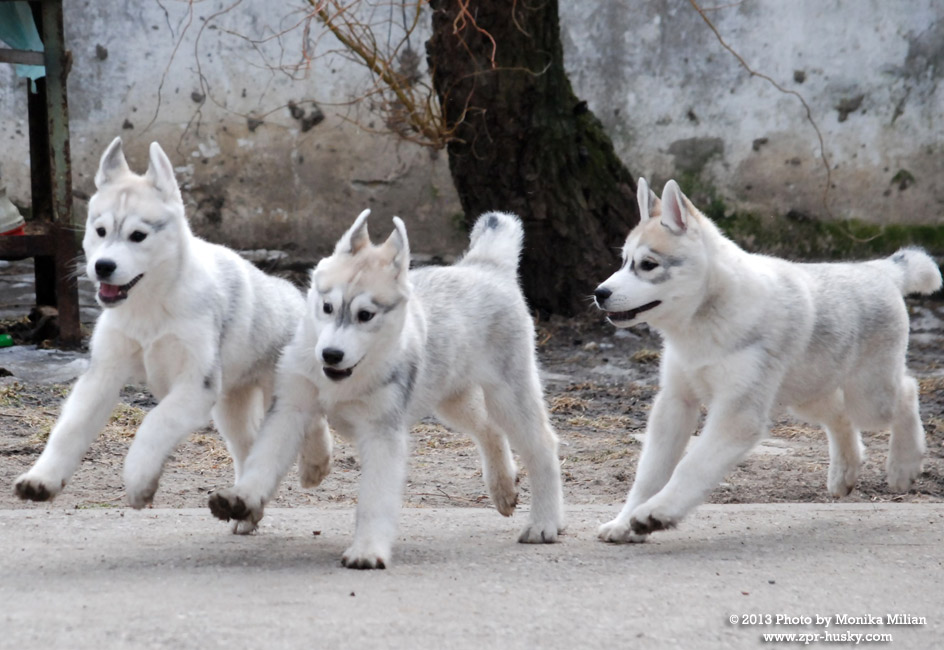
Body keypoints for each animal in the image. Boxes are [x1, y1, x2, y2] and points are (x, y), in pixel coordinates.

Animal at [13, 138, 325, 525]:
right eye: (100, 231)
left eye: (138, 236)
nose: (102, 267)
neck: (149, 305)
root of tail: (293, 294)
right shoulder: (102, 375)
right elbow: (70, 428)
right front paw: (42, 479)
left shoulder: (193, 386)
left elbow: (154, 423)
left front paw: (138, 479)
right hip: (230, 405)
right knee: (248, 446)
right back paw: (244, 509)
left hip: (280, 390)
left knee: (309, 422)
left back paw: (315, 464)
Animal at [209, 209, 564, 568]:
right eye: (327, 307)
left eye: (366, 315)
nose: (330, 354)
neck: (346, 379)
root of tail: (483, 265)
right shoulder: (289, 412)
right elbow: (262, 462)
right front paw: (241, 499)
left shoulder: (382, 433)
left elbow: (375, 499)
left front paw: (367, 550)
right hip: (452, 400)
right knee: (489, 429)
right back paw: (503, 489)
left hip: (508, 395)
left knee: (542, 446)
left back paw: (545, 523)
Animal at [594, 177, 942, 543]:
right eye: (623, 261)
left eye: (648, 264)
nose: (599, 293)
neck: (702, 322)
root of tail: (877, 268)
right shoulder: (675, 403)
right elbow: (649, 473)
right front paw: (625, 522)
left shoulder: (737, 415)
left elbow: (692, 466)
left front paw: (656, 513)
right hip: (809, 394)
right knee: (841, 414)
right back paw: (844, 473)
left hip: (869, 398)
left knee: (906, 391)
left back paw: (904, 466)